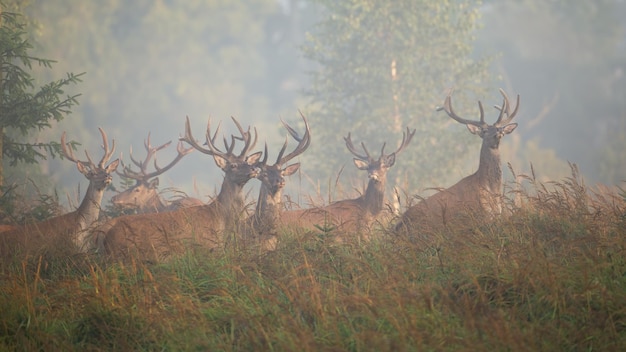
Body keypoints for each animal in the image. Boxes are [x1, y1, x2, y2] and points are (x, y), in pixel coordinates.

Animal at [97, 116, 260, 262]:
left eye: (247, 161)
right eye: (233, 165)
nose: (254, 168)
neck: (220, 220)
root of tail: (102, 232)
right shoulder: (205, 249)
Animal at [394, 89, 516, 235]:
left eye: (499, 129)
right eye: (485, 130)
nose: (498, 134)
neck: (491, 189)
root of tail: (398, 225)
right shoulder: (480, 216)